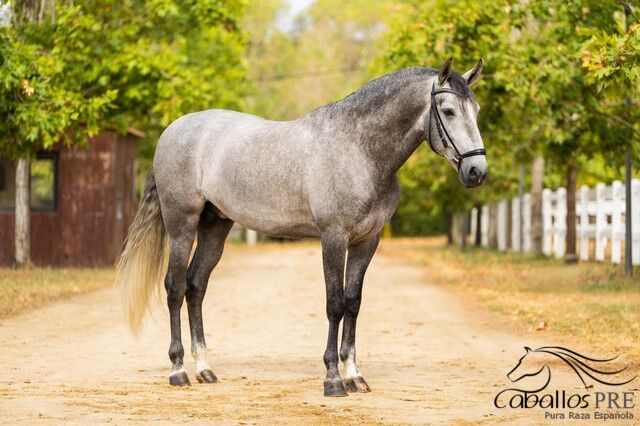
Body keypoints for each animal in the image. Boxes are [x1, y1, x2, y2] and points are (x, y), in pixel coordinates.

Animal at [116, 58, 488, 397]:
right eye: (448, 110)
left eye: (477, 110)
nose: (477, 172)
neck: (359, 150)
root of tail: (172, 131)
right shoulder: (334, 238)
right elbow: (334, 304)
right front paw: (333, 380)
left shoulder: (366, 242)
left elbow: (353, 302)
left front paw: (355, 376)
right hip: (182, 223)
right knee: (175, 287)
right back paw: (178, 371)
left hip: (215, 226)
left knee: (196, 286)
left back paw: (205, 369)